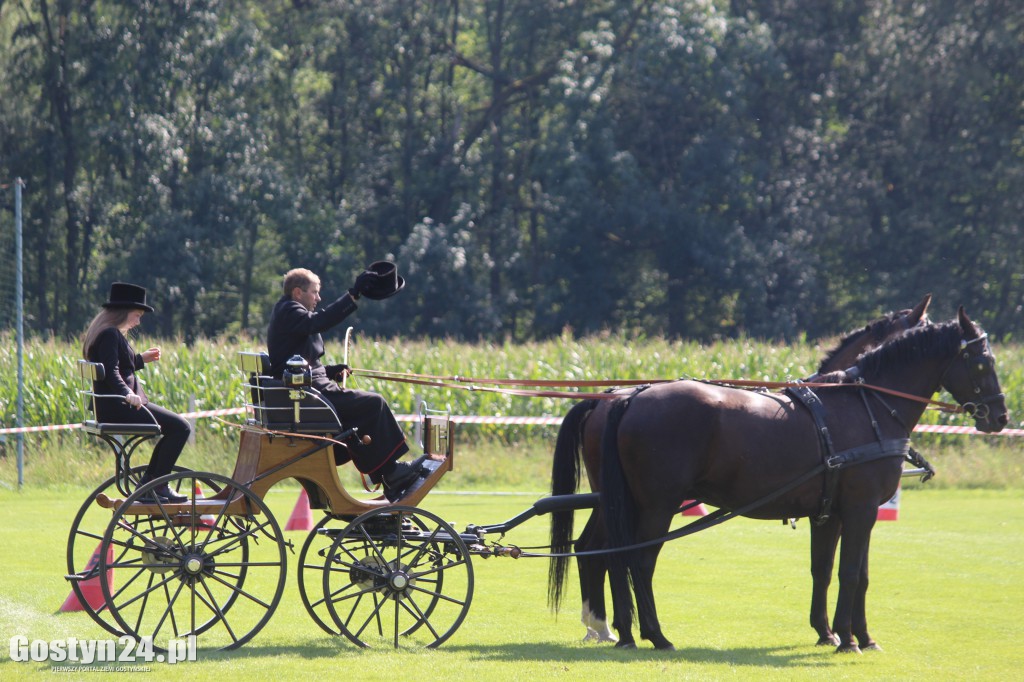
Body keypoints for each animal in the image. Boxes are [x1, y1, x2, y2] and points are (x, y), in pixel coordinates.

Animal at [598, 307, 1007, 647]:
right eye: (983, 362)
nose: (1001, 416)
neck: (867, 405)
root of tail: (633, 396)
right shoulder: (861, 509)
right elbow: (851, 572)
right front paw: (848, 639)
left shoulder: (833, 514)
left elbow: (832, 571)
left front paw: (846, 634)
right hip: (658, 506)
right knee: (640, 562)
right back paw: (655, 634)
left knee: (617, 558)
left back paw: (628, 634)